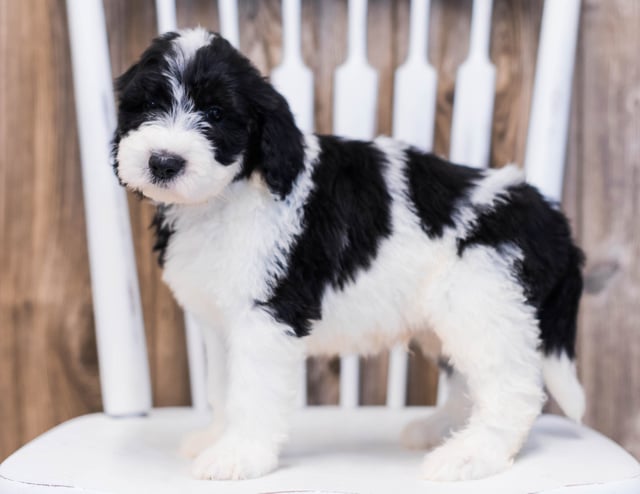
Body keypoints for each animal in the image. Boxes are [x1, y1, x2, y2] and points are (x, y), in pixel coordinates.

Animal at [111, 28, 584, 482]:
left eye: (214, 114)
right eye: (148, 105)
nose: (164, 162)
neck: (231, 192)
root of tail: (552, 219)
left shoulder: (267, 314)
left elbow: (253, 390)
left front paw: (238, 455)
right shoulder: (218, 320)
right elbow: (222, 386)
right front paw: (216, 437)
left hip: (483, 303)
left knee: (512, 390)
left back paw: (470, 455)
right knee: (469, 379)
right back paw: (441, 429)